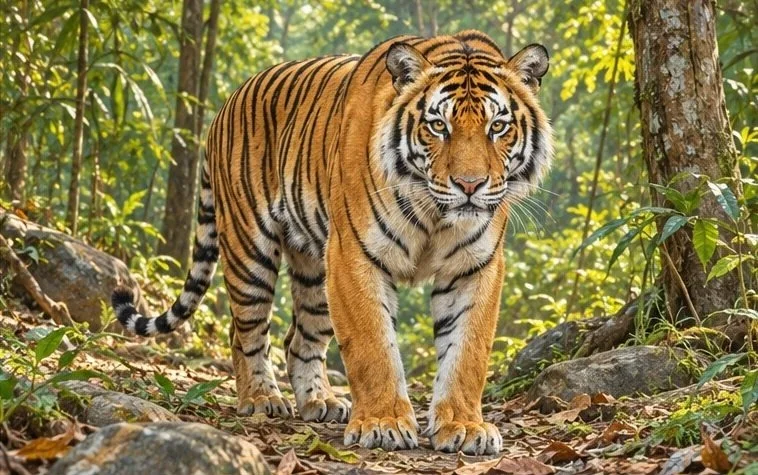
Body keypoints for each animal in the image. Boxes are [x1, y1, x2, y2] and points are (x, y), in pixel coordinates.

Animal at [112, 30, 552, 455]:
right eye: (438, 126)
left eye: (497, 127)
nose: (469, 185)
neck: (435, 215)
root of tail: (225, 105)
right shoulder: (355, 256)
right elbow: (373, 346)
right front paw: (384, 423)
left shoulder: (474, 267)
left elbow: (467, 353)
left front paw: (463, 427)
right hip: (249, 251)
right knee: (246, 333)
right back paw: (261, 399)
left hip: (316, 270)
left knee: (298, 340)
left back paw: (318, 401)